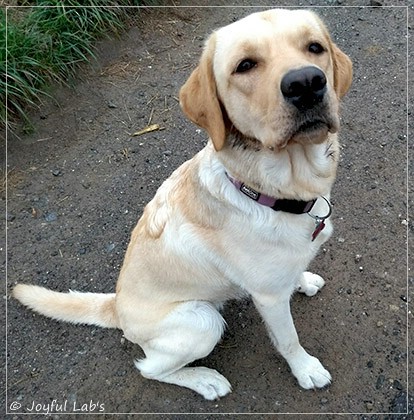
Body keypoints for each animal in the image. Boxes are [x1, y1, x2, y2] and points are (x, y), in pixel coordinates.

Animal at [12, 8, 350, 398]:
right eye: (245, 65)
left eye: (315, 47)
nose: (307, 83)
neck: (271, 191)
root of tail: (117, 306)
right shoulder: (269, 299)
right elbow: (288, 340)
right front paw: (305, 369)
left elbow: (292, 274)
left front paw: (302, 279)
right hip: (202, 321)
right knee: (149, 368)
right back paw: (204, 380)